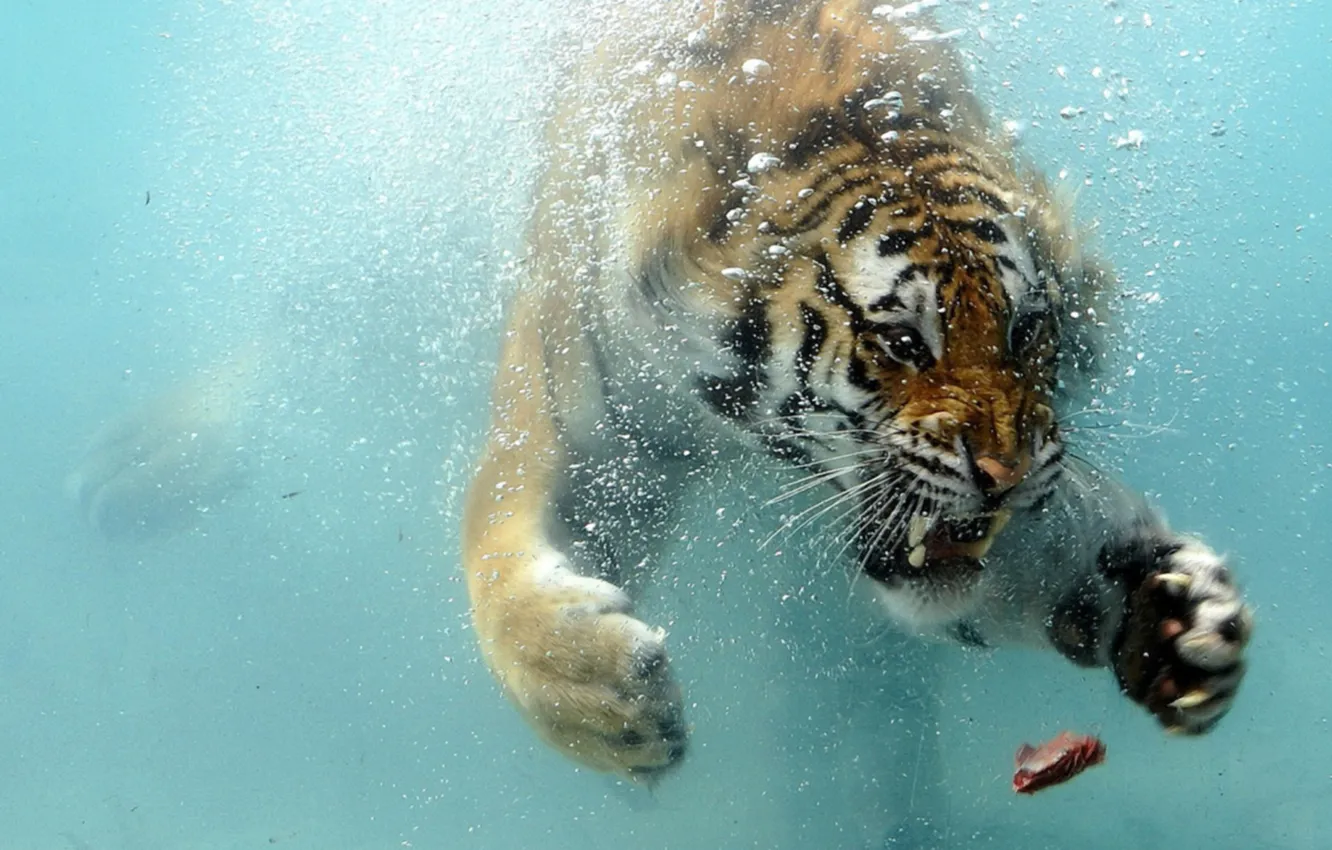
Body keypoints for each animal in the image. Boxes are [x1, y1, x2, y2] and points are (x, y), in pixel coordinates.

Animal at [461, 0, 1254, 782]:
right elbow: (494, 550)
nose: (1007, 474)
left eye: (1026, 329)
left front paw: (1172, 617)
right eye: (903, 342)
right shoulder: (589, 428)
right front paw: (605, 696)